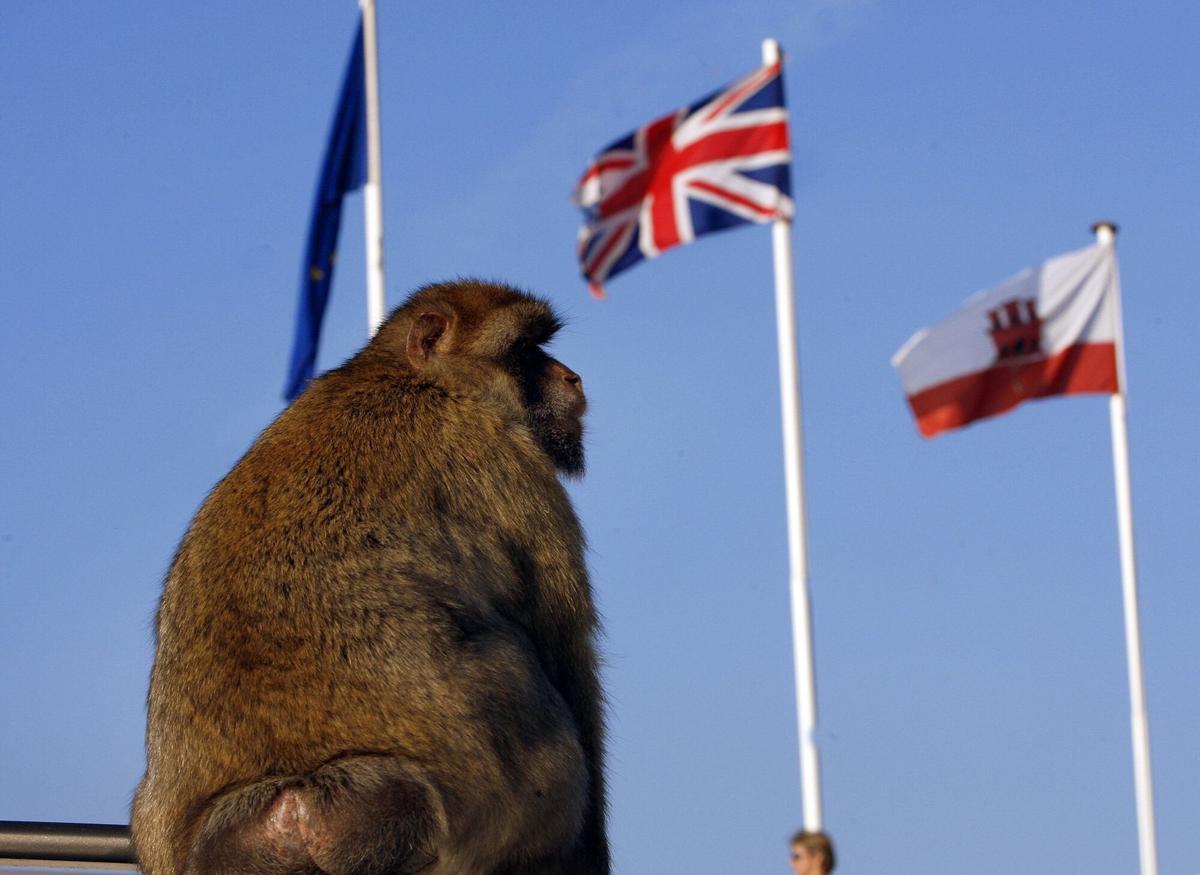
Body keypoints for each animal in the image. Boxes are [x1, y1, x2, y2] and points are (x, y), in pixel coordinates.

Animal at [131, 280, 608, 875]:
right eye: (524, 350)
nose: (572, 377)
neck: (409, 377)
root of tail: (298, 801)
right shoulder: (512, 462)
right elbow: (566, 648)